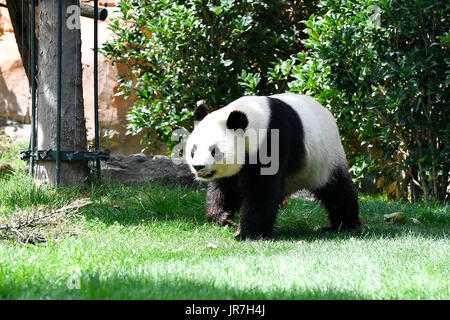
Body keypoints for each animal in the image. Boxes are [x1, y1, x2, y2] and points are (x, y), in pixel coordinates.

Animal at [185, 92, 360, 238]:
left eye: (214, 150)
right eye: (193, 150)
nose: (198, 167)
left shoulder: (273, 142)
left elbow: (261, 191)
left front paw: (247, 233)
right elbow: (226, 187)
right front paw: (223, 218)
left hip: (325, 158)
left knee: (336, 189)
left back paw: (344, 224)